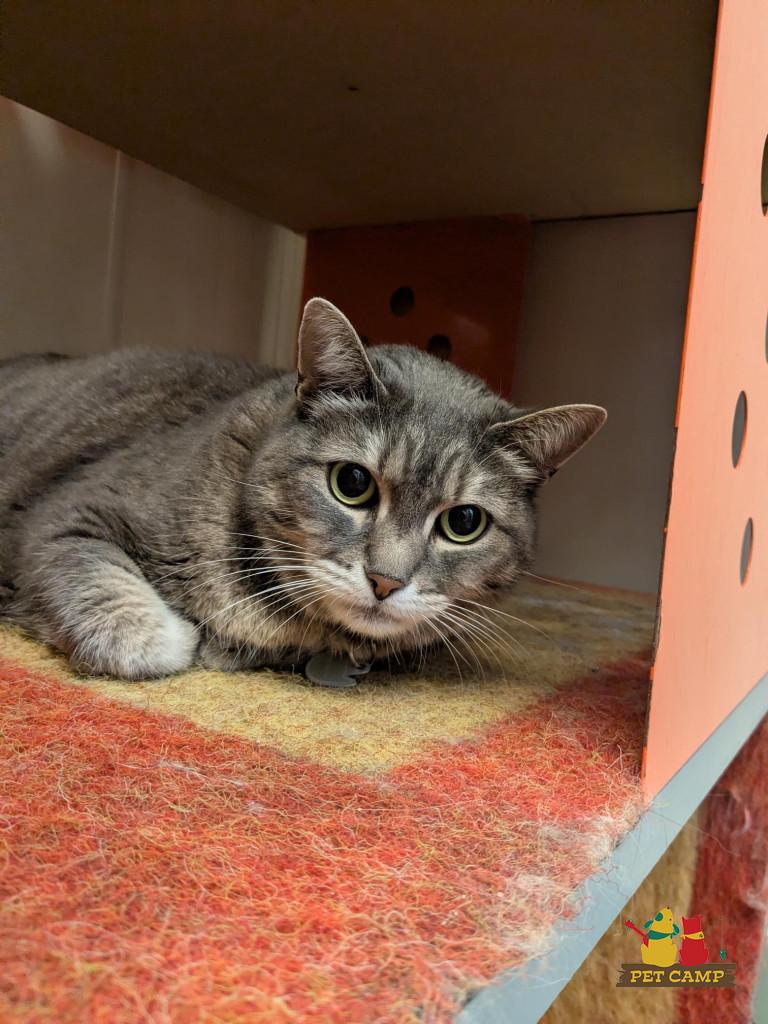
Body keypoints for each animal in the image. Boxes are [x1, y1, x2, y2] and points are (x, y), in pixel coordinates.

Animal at [0, 298, 606, 680]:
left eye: (463, 523)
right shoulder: (72, 515)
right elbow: (130, 623)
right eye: (353, 484)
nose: (385, 582)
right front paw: (187, 641)